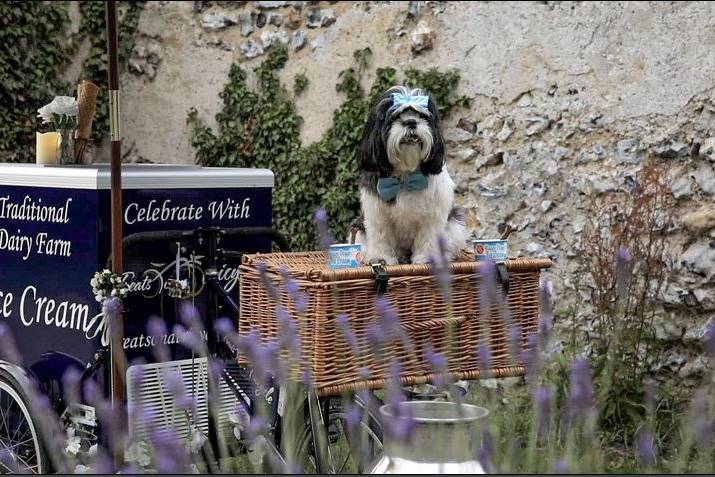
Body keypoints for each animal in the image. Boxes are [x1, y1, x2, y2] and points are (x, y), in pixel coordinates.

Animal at [354, 85, 470, 264]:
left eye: (422, 116)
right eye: (395, 116)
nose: (411, 122)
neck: (406, 175)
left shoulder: (433, 214)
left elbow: (429, 236)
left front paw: (428, 258)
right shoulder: (377, 213)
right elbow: (380, 235)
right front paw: (381, 258)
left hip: (455, 225)